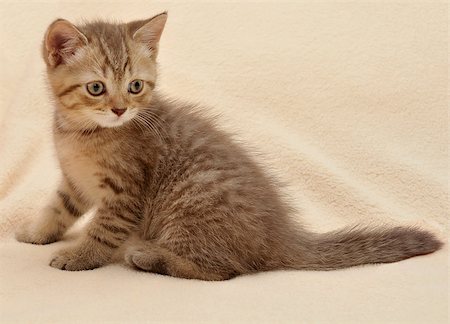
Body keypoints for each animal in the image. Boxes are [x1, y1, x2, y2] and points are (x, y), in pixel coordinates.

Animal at [14, 12, 442, 280]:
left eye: (135, 86)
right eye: (96, 88)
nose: (120, 109)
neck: (82, 134)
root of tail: (280, 235)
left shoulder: (125, 194)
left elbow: (102, 231)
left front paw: (79, 257)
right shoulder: (74, 181)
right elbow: (58, 208)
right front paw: (36, 233)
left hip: (189, 205)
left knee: (225, 270)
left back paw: (149, 257)